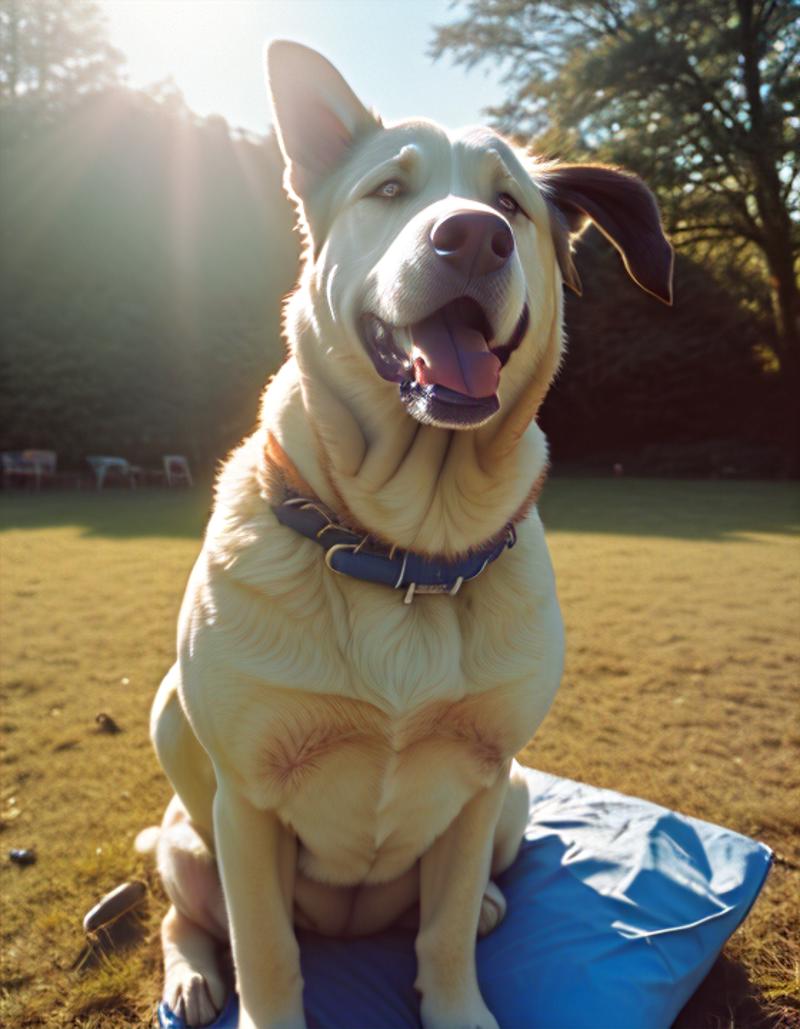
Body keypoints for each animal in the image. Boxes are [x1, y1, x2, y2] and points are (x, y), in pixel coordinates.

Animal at [138, 40, 675, 1029]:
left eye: (512, 205)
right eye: (389, 189)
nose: (471, 236)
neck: (406, 549)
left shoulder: (481, 779)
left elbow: (445, 929)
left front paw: (458, 998)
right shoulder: (245, 805)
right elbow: (267, 950)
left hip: (515, 795)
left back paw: (493, 900)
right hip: (184, 818)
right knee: (189, 915)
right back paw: (191, 975)